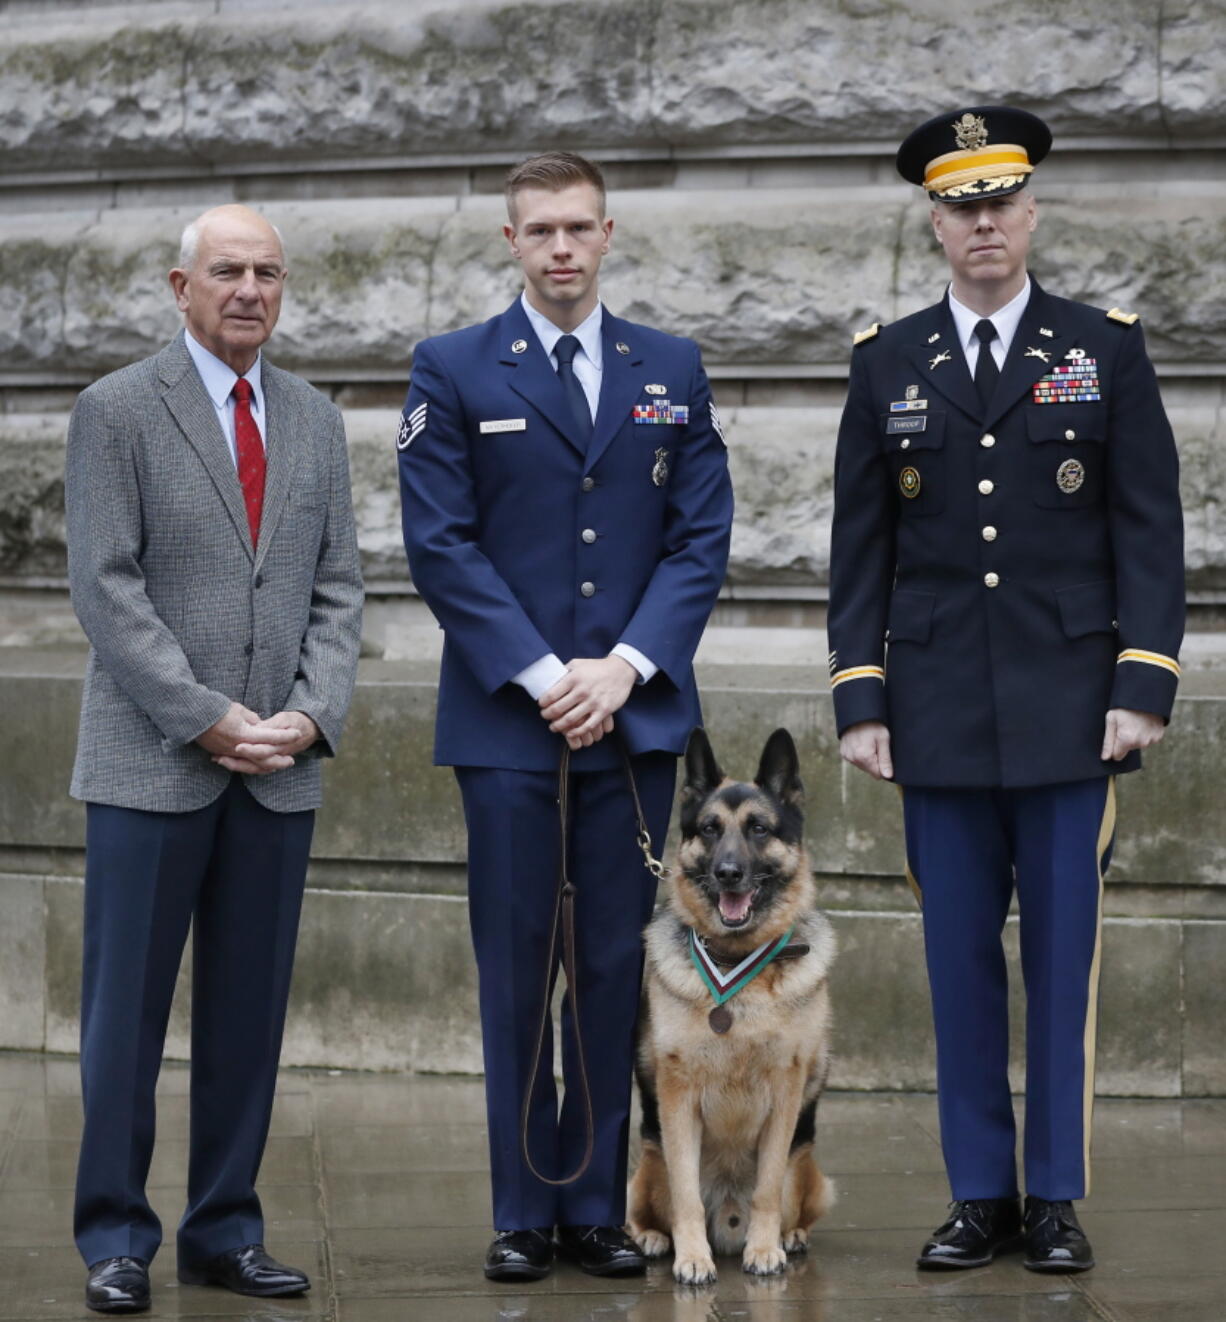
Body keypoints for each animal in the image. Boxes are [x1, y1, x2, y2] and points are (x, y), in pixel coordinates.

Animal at [626, 729, 841, 1284]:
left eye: (759, 829)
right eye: (709, 829)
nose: (727, 873)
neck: (736, 962)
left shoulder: (785, 1095)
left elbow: (766, 1187)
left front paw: (764, 1249)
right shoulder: (677, 1098)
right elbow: (685, 1194)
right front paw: (692, 1257)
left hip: (808, 1169)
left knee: (793, 1199)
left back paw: (789, 1236)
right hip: (648, 1162)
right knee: (644, 1207)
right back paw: (653, 1238)